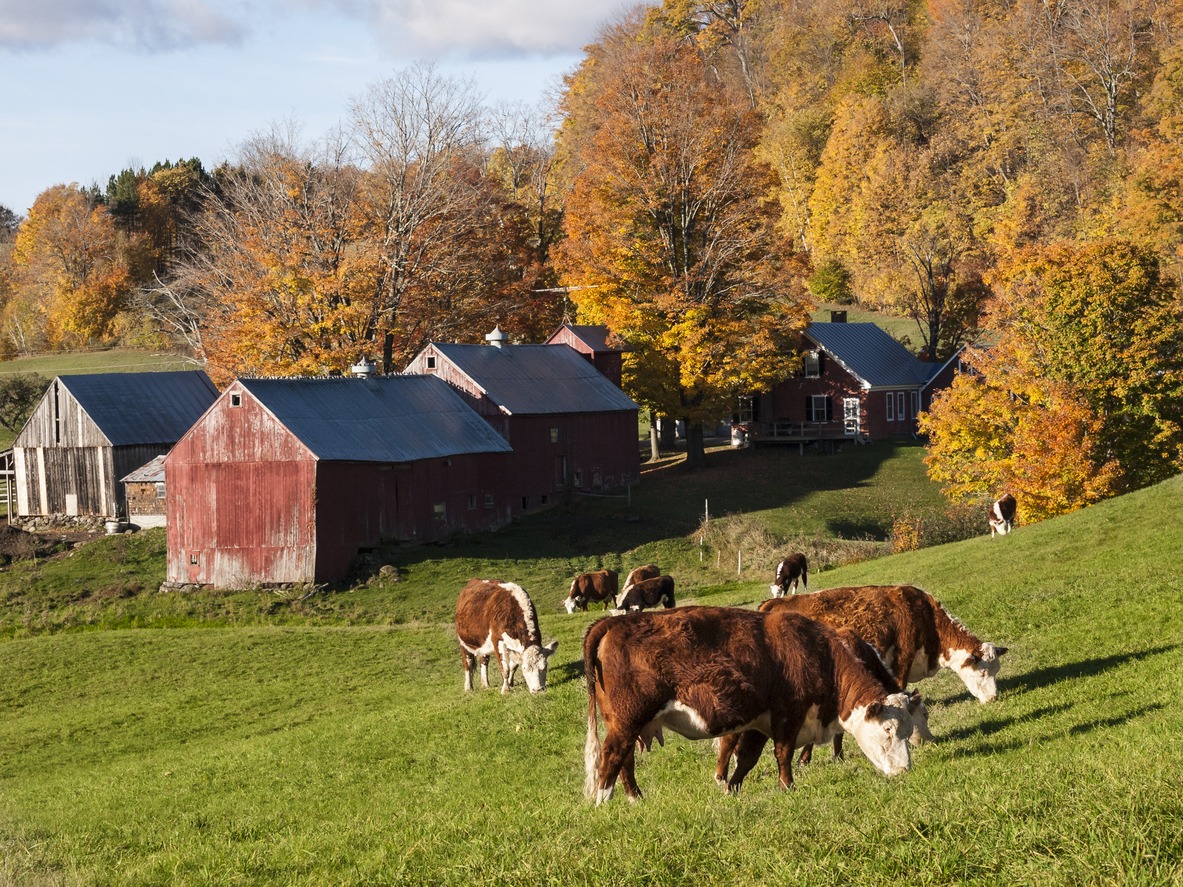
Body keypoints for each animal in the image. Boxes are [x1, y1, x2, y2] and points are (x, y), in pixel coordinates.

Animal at [715, 626, 932, 784]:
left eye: (908, 728)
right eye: (924, 714)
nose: (931, 740)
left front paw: (825, 757)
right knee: (729, 739)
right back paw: (721, 775)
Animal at [760, 584, 1007, 703]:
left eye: (996, 671)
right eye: (983, 672)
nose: (994, 698)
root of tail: (772, 603)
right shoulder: (903, 656)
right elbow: (899, 685)